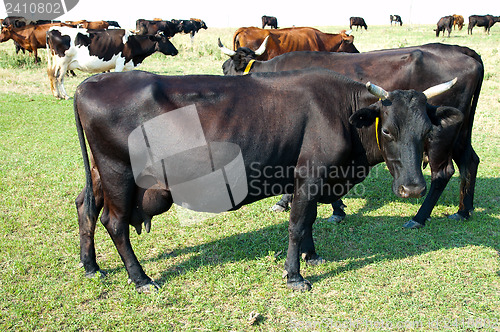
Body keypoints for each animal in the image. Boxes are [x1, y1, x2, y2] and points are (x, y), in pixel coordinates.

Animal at [74, 68, 460, 292]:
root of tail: (90, 82)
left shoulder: (306, 180)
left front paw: (311, 256)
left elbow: (309, 220)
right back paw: (140, 279)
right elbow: (297, 223)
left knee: (85, 207)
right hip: (118, 172)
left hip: (102, 173)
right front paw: (295, 276)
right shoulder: (309, 175)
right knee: (114, 222)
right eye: (390, 131)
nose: (413, 188)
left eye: (427, 132)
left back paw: (91, 266)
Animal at [219, 44, 484, 228]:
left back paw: (419, 217)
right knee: (470, 160)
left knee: (443, 173)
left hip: (441, 137)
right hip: (460, 130)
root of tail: (463, 51)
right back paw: (464, 210)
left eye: (225, 67)